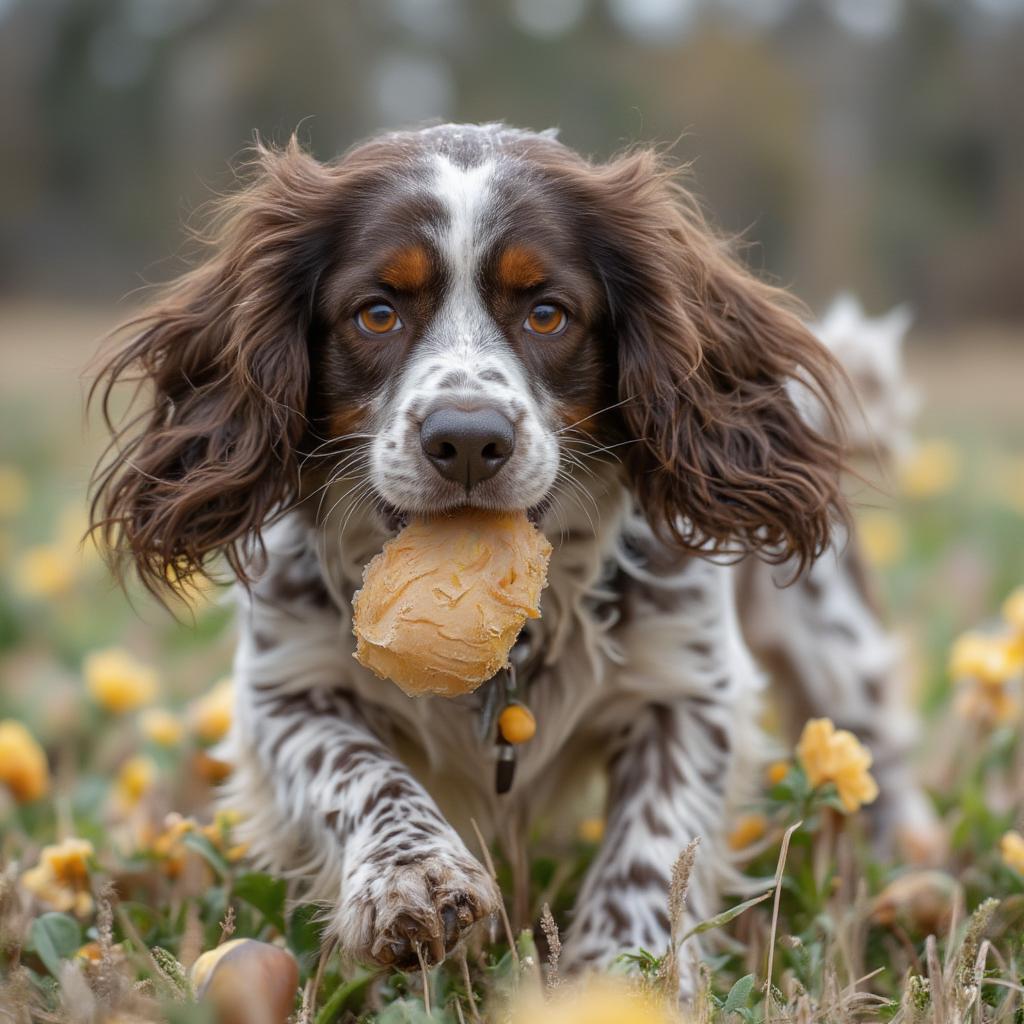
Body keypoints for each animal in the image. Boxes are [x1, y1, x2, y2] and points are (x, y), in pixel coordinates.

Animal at [92, 121, 929, 991]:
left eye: (549, 314)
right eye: (377, 313)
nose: (467, 437)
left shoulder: (691, 687)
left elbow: (653, 844)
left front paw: (616, 976)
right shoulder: (285, 688)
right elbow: (358, 771)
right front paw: (413, 877)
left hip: (834, 647)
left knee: (873, 745)